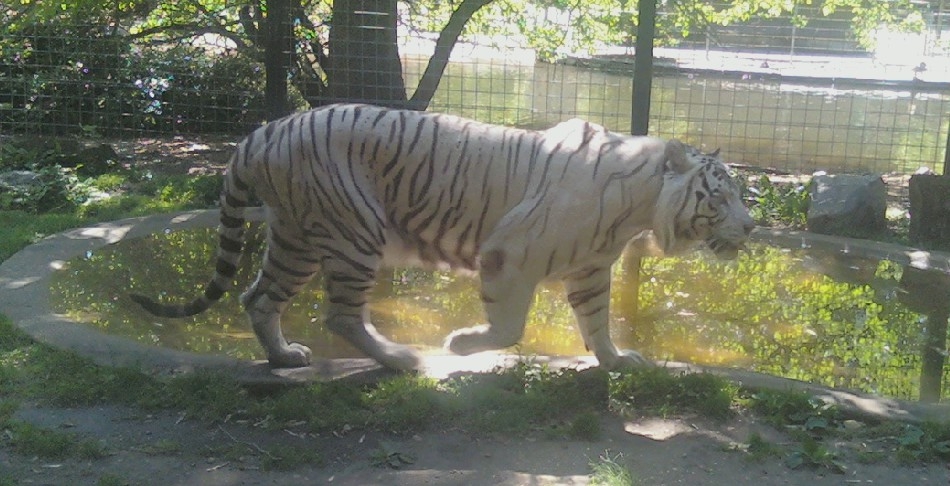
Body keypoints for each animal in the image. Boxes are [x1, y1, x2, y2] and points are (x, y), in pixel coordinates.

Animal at [132, 101, 760, 368]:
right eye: (721, 195)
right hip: (354, 231)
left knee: (258, 297)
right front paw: (461, 344)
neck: (640, 206)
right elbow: (509, 327)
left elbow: (598, 320)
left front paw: (618, 360)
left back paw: (285, 357)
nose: (753, 225)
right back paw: (398, 358)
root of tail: (261, 133)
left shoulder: (590, 269)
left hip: (295, 238)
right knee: (341, 315)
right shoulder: (511, 253)